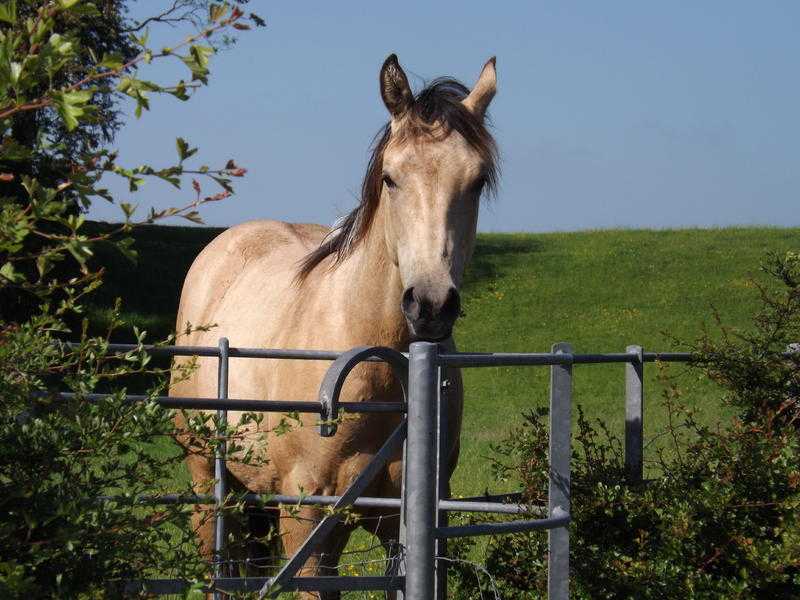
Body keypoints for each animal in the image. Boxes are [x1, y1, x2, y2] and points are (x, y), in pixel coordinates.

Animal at [170, 54, 500, 596]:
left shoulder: (414, 524)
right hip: (208, 484)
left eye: (476, 181)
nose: (430, 305)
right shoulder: (307, 519)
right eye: (390, 178)